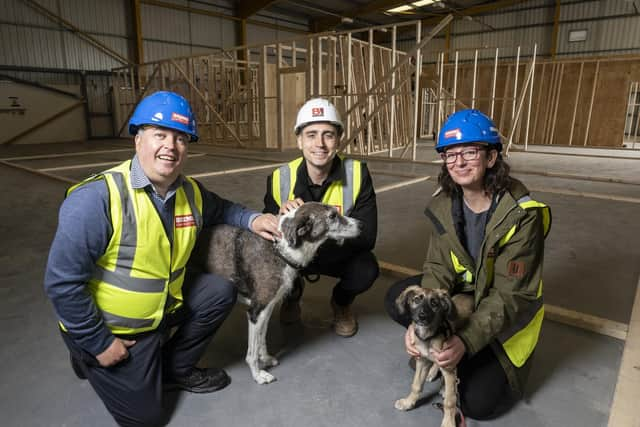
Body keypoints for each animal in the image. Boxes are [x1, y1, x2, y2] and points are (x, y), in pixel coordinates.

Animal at [189, 202, 360, 386]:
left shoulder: (267, 309)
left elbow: (262, 339)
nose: (361, 225)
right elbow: (252, 353)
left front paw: (265, 358)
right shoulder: (256, 312)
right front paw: (258, 375)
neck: (279, 248)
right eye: (332, 216)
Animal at [392, 286, 472, 427]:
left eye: (434, 303)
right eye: (416, 300)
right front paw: (408, 402)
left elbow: (450, 401)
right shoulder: (422, 361)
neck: (428, 337)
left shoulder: (449, 364)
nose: (422, 316)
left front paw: (448, 422)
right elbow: (416, 385)